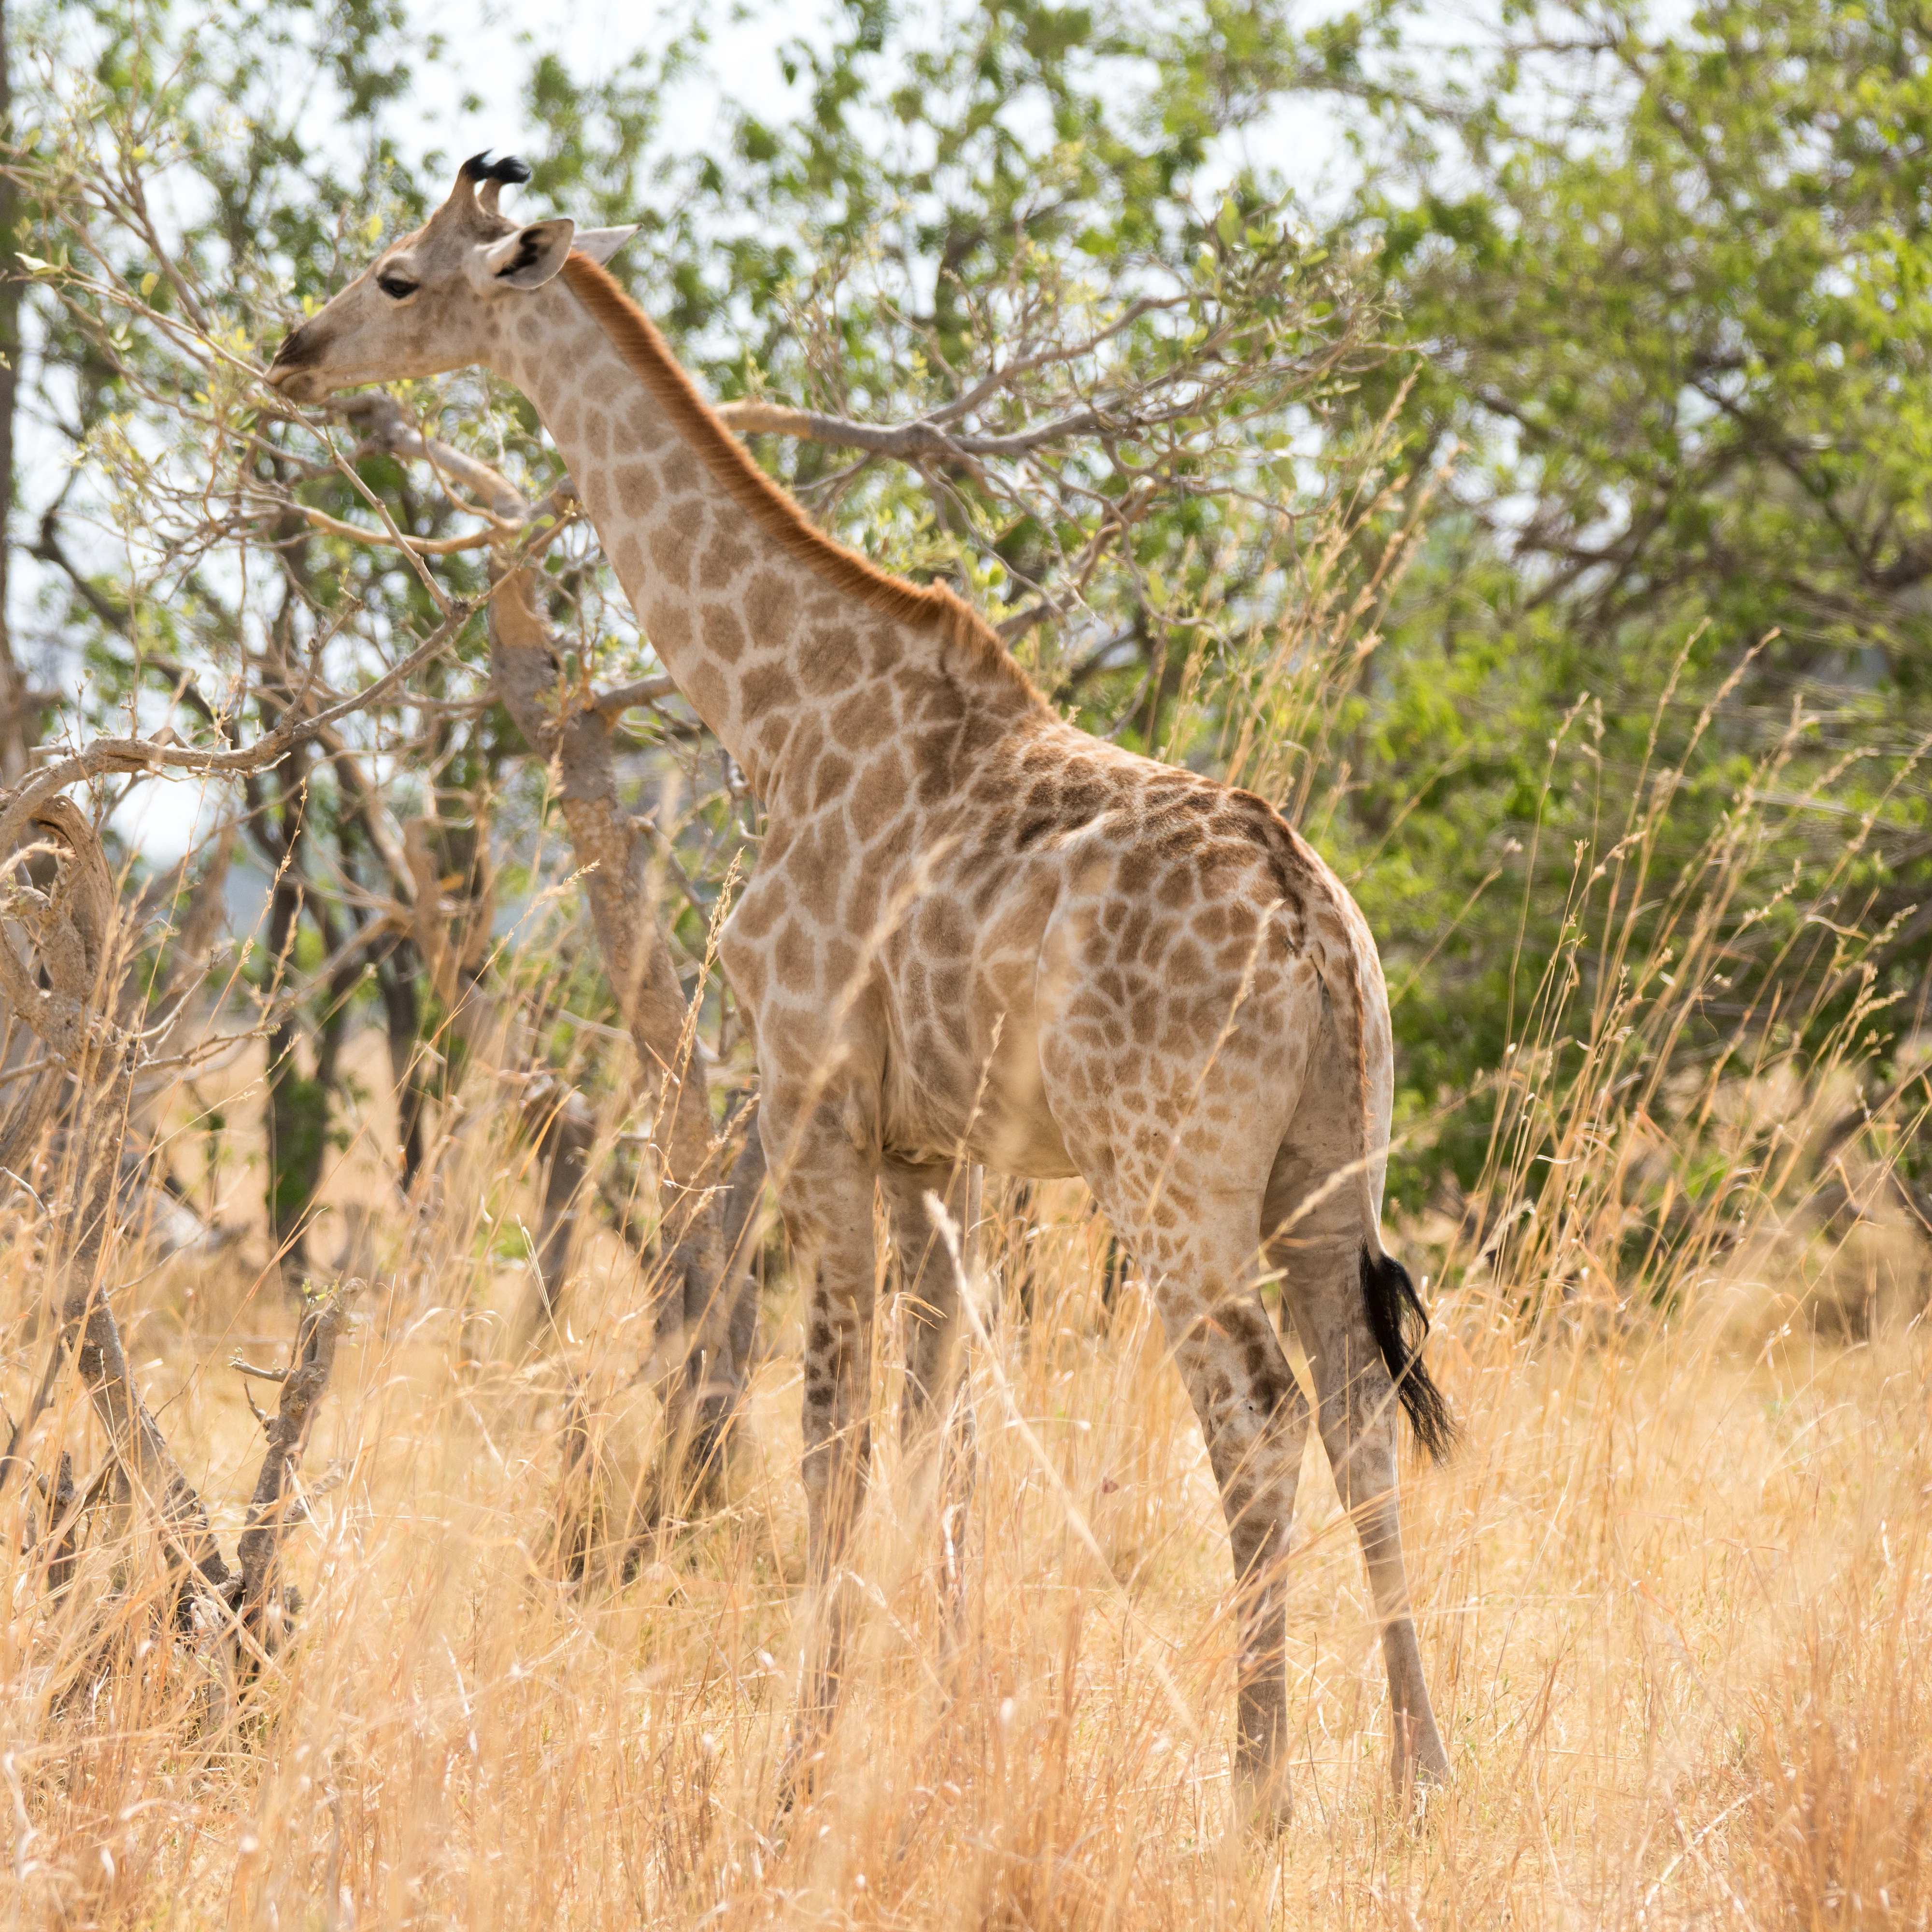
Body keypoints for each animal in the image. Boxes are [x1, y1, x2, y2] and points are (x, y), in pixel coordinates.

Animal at [267, 153, 1458, 1825]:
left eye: (393, 274)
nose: (294, 353)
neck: (781, 707)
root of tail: (1312, 923)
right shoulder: (936, 1153)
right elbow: (943, 1438)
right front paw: (948, 1724)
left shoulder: (815, 1103)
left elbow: (830, 1442)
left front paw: (795, 1767)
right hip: (1326, 1169)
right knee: (1356, 1416)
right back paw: (1419, 1773)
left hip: (1171, 1183)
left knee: (1258, 1417)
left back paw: (1259, 1786)